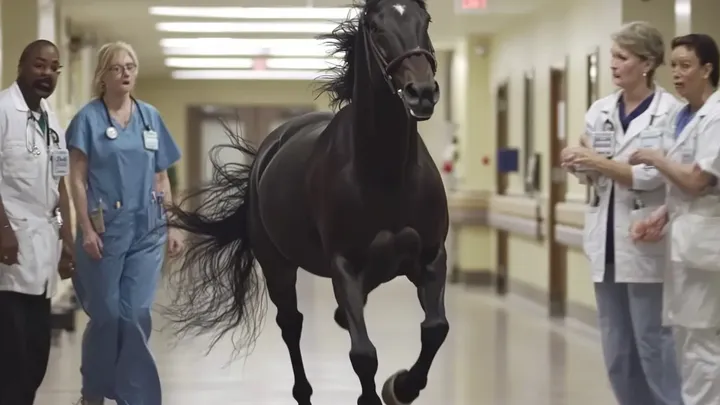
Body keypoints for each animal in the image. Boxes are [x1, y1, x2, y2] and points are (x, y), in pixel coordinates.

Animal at [165, 0, 449, 404]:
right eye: (376, 27)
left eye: (425, 21)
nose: (421, 92)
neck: (386, 171)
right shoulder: (345, 265)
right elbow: (363, 354)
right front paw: (380, 391)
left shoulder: (430, 256)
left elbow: (436, 328)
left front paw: (401, 387)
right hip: (277, 264)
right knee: (291, 324)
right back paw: (303, 390)